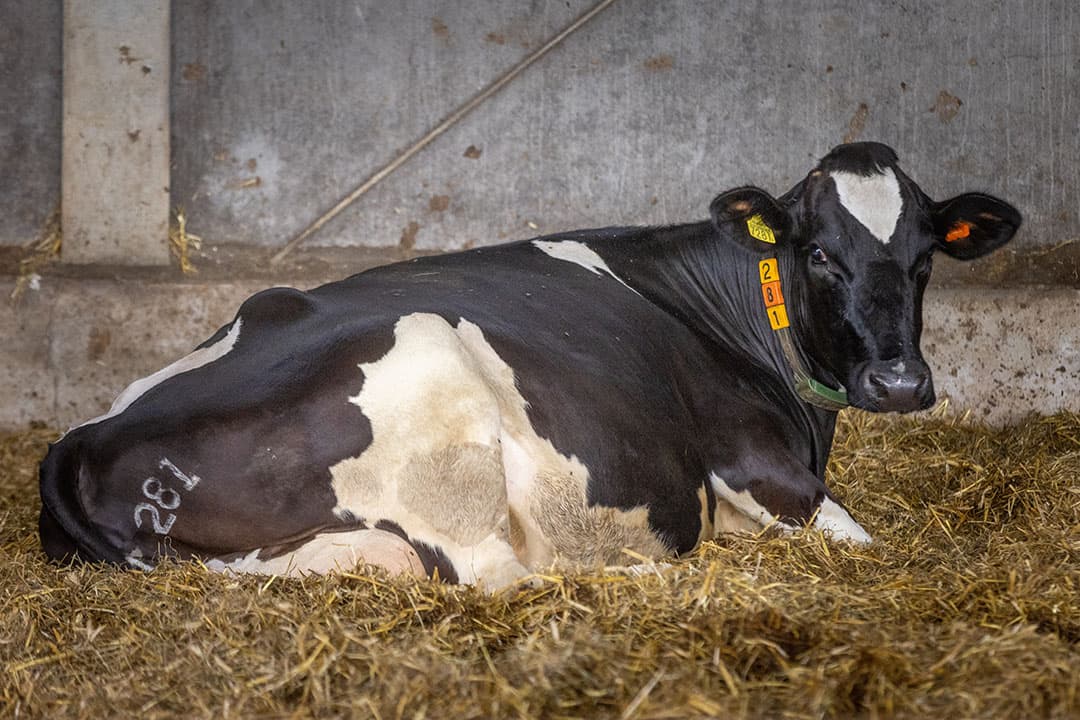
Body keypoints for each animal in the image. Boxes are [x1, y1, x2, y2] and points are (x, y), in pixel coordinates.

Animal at [39, 142, 1021, 588]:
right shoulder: (758, 466)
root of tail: (77, 441)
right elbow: (863, 539)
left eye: (925, 258)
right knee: (502, 577)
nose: (900, 383)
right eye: (818, 253)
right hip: (436, 392)